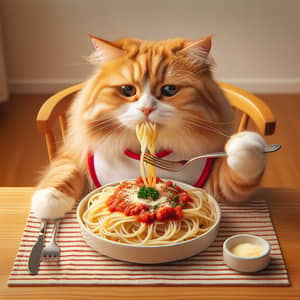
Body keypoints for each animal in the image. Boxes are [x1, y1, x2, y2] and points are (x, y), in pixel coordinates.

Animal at [31, 35, 266, 219]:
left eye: (170, 90)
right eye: (127, 90)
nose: (146, 109)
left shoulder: (216, 184)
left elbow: (236, 172)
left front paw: (248, 144)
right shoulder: (76, 152)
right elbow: (62, 171)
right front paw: (48, 201)